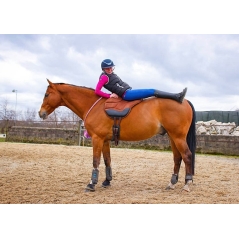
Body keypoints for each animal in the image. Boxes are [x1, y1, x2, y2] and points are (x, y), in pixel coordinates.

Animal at [38, 80, 196, 192]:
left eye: (46, 94)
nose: (41, 113)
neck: (94, 106)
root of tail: (184, 101)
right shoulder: (105, 140)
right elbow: (107, 160)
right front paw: (107, 181)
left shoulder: (97, 139)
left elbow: (96, 161)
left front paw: (91, 184)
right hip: (172, 137)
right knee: (177, 158)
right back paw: (172, 183)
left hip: (178, 137)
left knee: (187, 156)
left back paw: (187, 184)